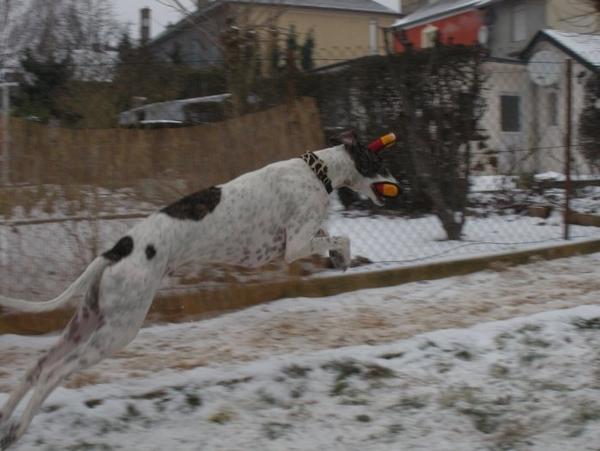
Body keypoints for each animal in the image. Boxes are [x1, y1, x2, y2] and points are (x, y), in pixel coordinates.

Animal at [0, 130, 396, 448]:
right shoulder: (294, 245)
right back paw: (18, 430)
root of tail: (116, 251)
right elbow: (339, 236)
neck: (317, 170)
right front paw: (344, 255)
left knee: (36, 366)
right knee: (53, 373)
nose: (401, 187)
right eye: (378, 161)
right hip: (117, 331)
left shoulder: (296, 242)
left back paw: (5, 422)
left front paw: (340, 257)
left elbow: (330, 235)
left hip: (85, 321)